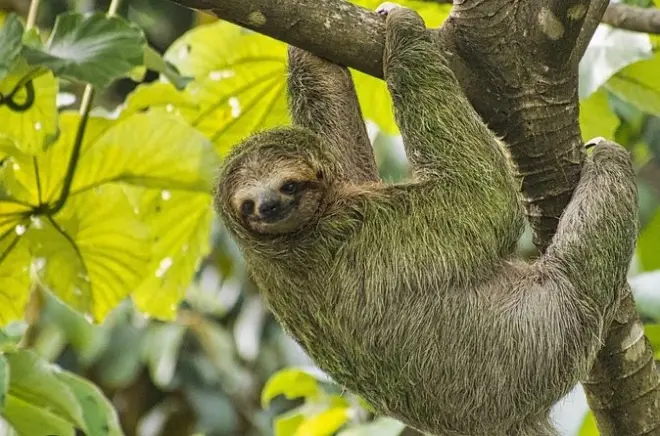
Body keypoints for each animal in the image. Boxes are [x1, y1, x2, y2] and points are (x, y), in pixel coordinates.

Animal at [213, 3, 638, 436]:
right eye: (247, 204)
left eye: (288, 185)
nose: (268, 206)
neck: (292, 238)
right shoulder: (371, 228)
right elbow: (484, 196)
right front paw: (405, 29)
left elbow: (344, 145)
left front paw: (313, 52)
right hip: (552, 333)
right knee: (583, 266)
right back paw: (608, 160)